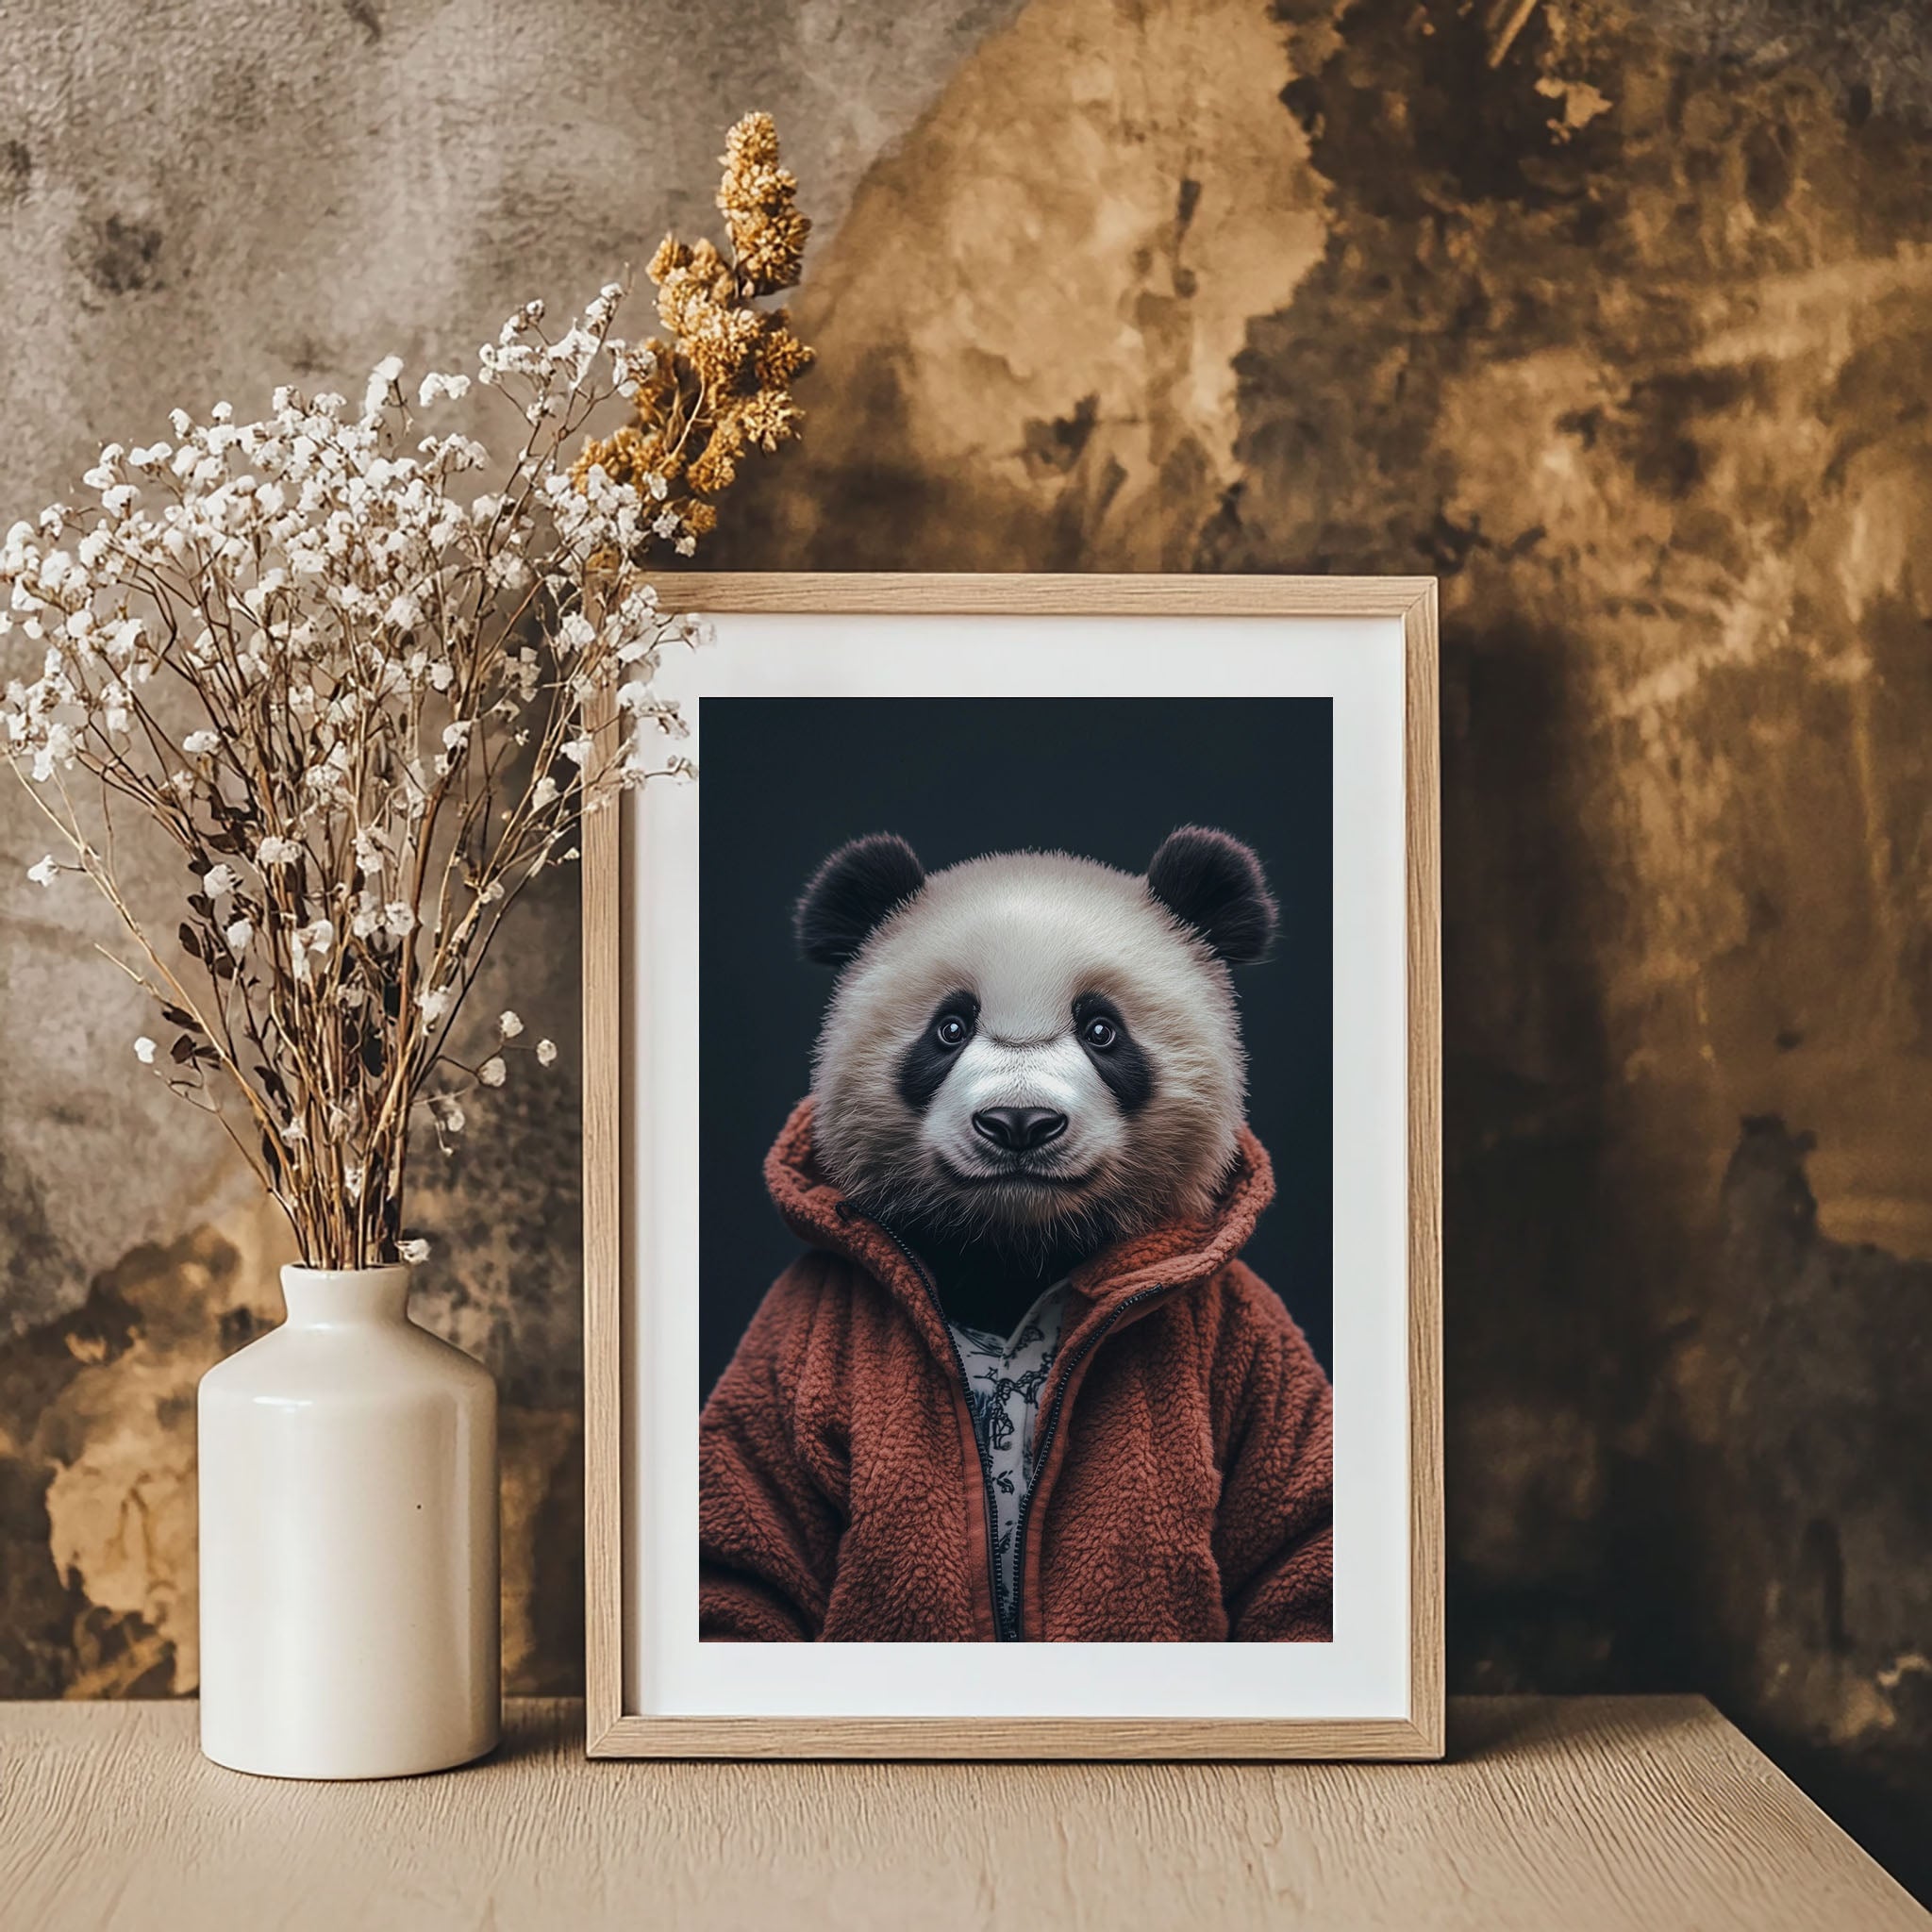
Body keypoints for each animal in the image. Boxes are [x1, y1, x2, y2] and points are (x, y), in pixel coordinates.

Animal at [699, 828, 1334, 1645]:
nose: (1020, 1123)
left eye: (1102, 1030)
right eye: (950, 1027)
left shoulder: (1247, 1334)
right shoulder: (793, 1332)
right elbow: (752, 1551)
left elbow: (1291, 1541)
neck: (1014, 1246)